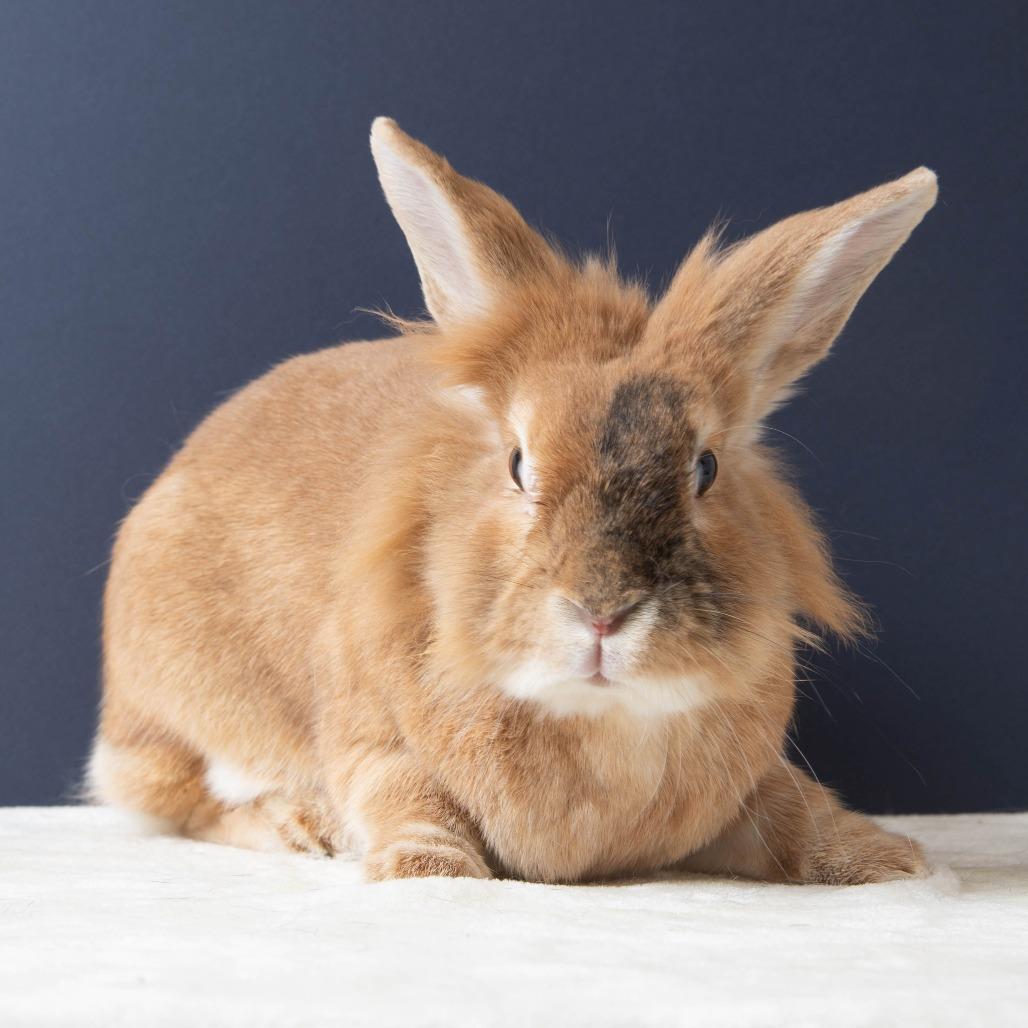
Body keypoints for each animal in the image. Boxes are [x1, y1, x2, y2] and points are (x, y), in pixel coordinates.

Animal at [88, 117, 937, 884]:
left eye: (706, 468)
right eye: (518, 464)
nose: (602, 611)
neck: (602, 722)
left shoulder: (750, 779)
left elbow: (795, 806)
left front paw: (890, 862)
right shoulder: (373, 738)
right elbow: (407, 795)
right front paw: (430, 870)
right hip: (177, 703)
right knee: (180, 801)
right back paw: (300, 828)